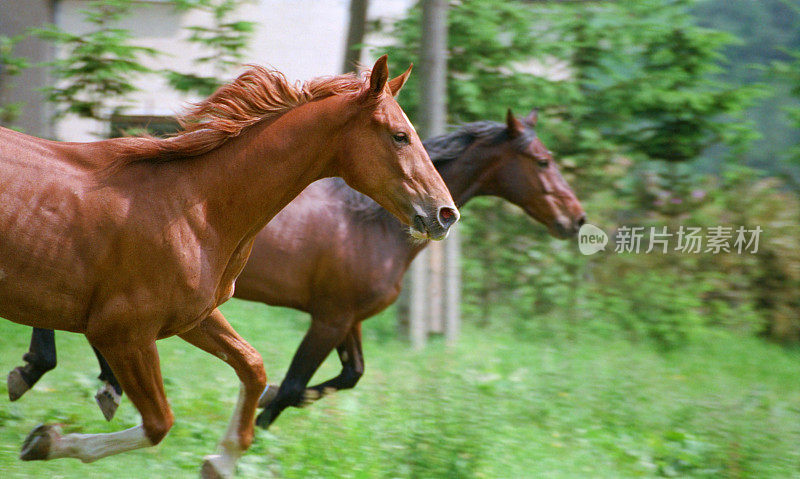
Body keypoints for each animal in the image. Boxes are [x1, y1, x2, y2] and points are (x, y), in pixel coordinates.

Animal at [0, 55, 460, 476]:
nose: (445, 214)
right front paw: (44, 441)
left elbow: (253, 368)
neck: (194, 207)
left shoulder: (193, 318)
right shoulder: (122, 333)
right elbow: (158, 423)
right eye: (400, 136)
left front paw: (222, 458)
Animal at [4, 109, 580, 432]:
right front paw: (259, 419)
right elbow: (297, 380)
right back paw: (42, 371)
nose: (576, 218)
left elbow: (347, 375)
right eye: (543, 161)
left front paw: (262, 411)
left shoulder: (347, 319)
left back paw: (94, 380)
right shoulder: (329, 318)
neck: (370, 222)